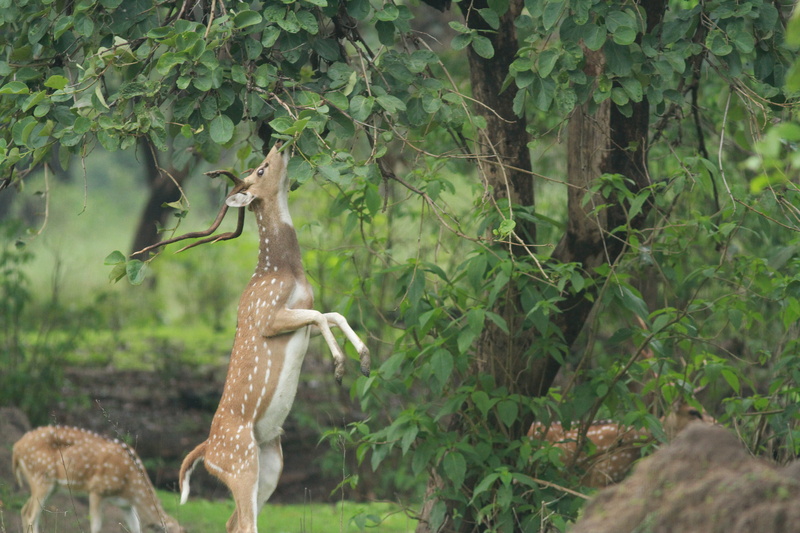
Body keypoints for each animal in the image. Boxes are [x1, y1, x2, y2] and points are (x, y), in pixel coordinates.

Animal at [12, 425, 183, 533]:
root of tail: (16, 447)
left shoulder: (125, 505)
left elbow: (136, 528)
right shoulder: (96, 489)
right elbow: (96, 526)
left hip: (49, 484)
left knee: (24, 510)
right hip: (41, 476)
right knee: (31, 516)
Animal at [133, 141, 371, 533]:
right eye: (261, 169)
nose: (280, 143)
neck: (282, 271)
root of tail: (207, 451)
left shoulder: (300, 313)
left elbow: (332, 314)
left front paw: (364, 360)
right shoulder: (265, 316)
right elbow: (322, 316)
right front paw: (339, 367)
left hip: (271, 463)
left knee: (234, 521)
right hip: (242, 462)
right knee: (244, 522)